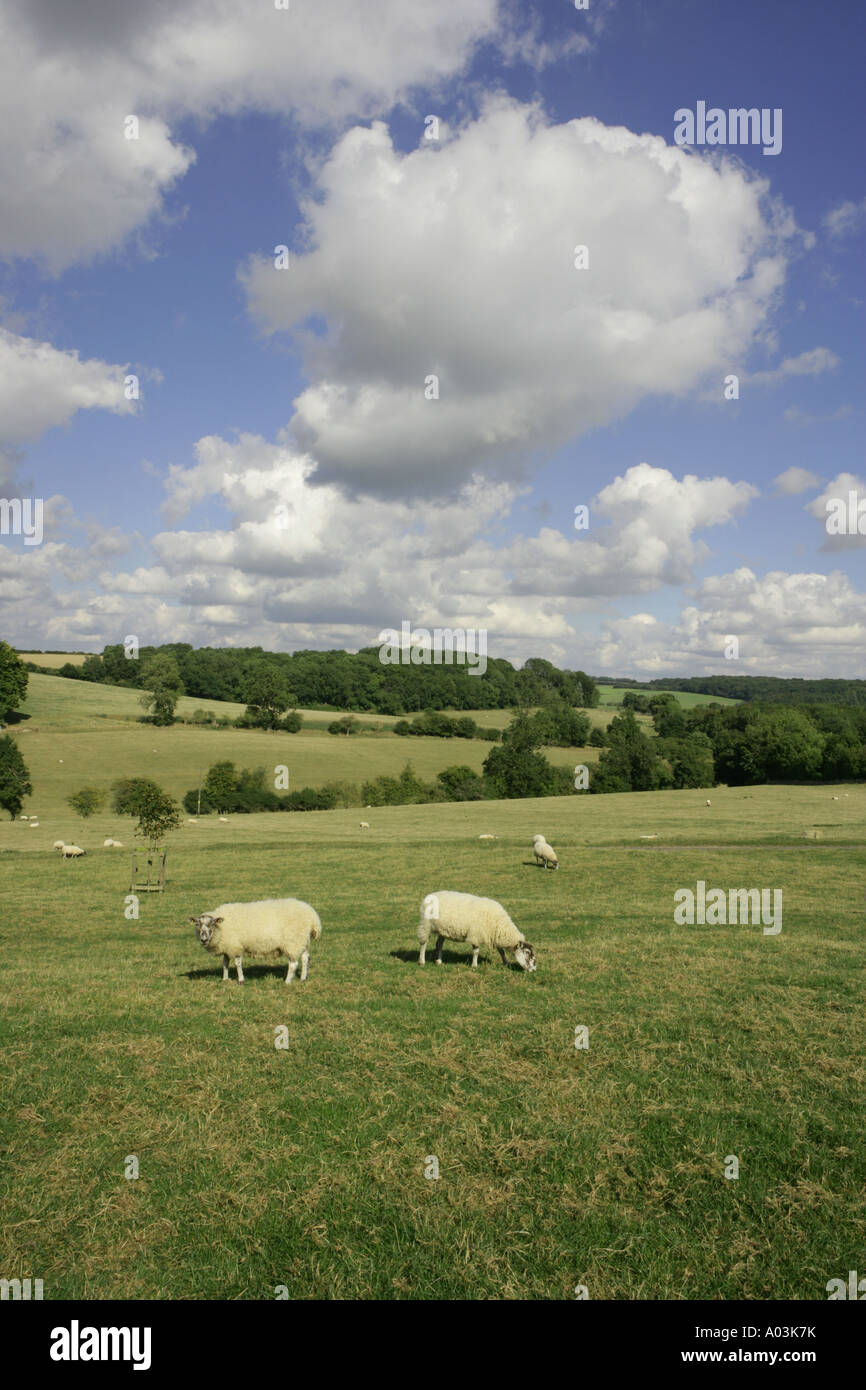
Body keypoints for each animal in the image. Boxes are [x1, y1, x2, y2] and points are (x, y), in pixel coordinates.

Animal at [189, 895, 322, 984]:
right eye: (198, 924)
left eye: (211, 924)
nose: (203, 939)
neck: (222, 927)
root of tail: (313, 916)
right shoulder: (227, 946)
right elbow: (225, 963)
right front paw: (225, 979)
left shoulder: (236, 946)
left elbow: (237, 963)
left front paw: (241, 980)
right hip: (302, 941)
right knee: (305, 958)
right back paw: (303, 978)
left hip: (292, 942)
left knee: (293, 964)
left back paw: (287, 981)